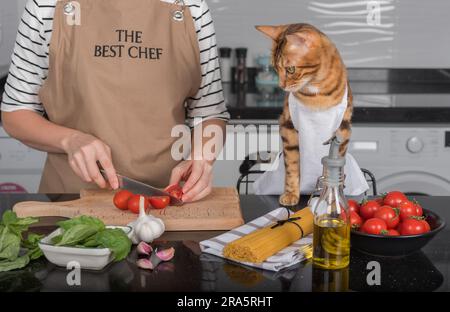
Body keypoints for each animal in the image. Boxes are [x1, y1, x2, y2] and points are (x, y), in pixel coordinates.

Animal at [256, 23, 352, 207]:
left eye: (290, 69)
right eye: (275, 68)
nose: (281, 86)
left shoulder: (344, 128)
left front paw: (333, 199)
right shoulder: (287, 125)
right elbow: (292, 165)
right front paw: (291, 194)